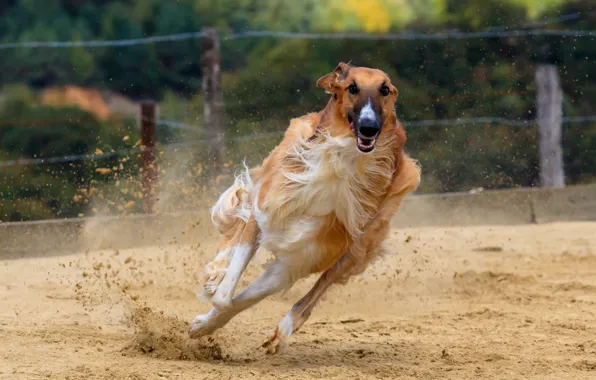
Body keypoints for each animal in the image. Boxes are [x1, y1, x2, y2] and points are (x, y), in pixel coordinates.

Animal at [190, 60, 420, 354]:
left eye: (385, 90)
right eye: (352, 87)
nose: (369, 128)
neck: (340, 161)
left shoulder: (300, 257)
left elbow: (234, 300)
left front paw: (205, 324)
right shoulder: (266, 209)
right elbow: (225, 292)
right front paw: (211, 294)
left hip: (355, 250)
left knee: (313, 294)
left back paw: (281, 331)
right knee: (237, 224)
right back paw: (216, 272)